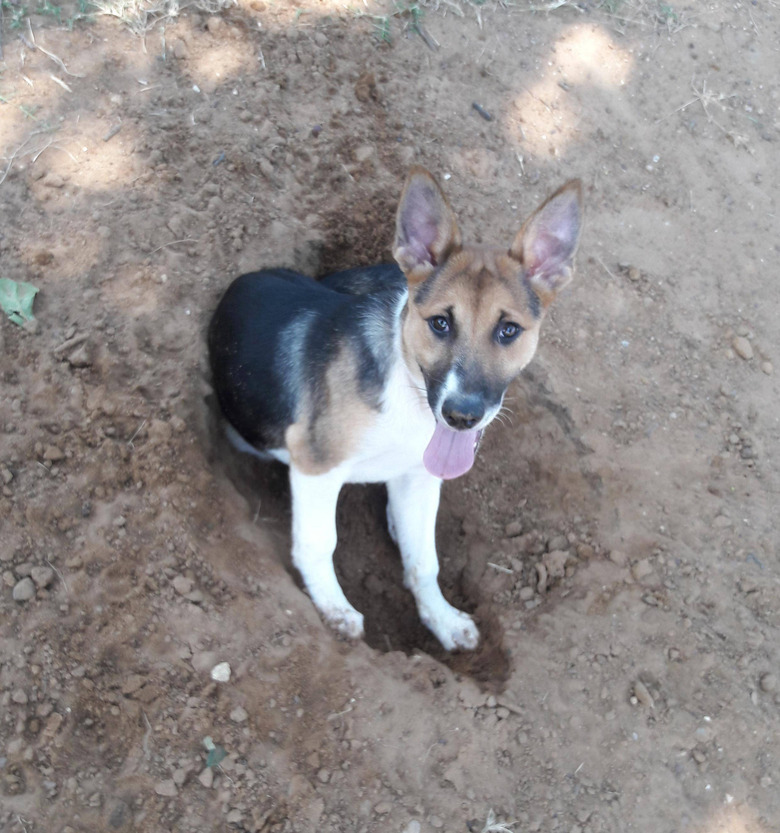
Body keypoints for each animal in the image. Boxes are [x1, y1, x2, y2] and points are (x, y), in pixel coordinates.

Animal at [210, 167, 580, 648]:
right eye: (440, 323)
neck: (407, 395)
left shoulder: (420, 475)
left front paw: (442, 618)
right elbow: (318, 542)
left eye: (509, 330)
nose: (461, 416)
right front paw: (334, 609)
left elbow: (424, 558)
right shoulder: (315, 465)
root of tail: (245, 278)